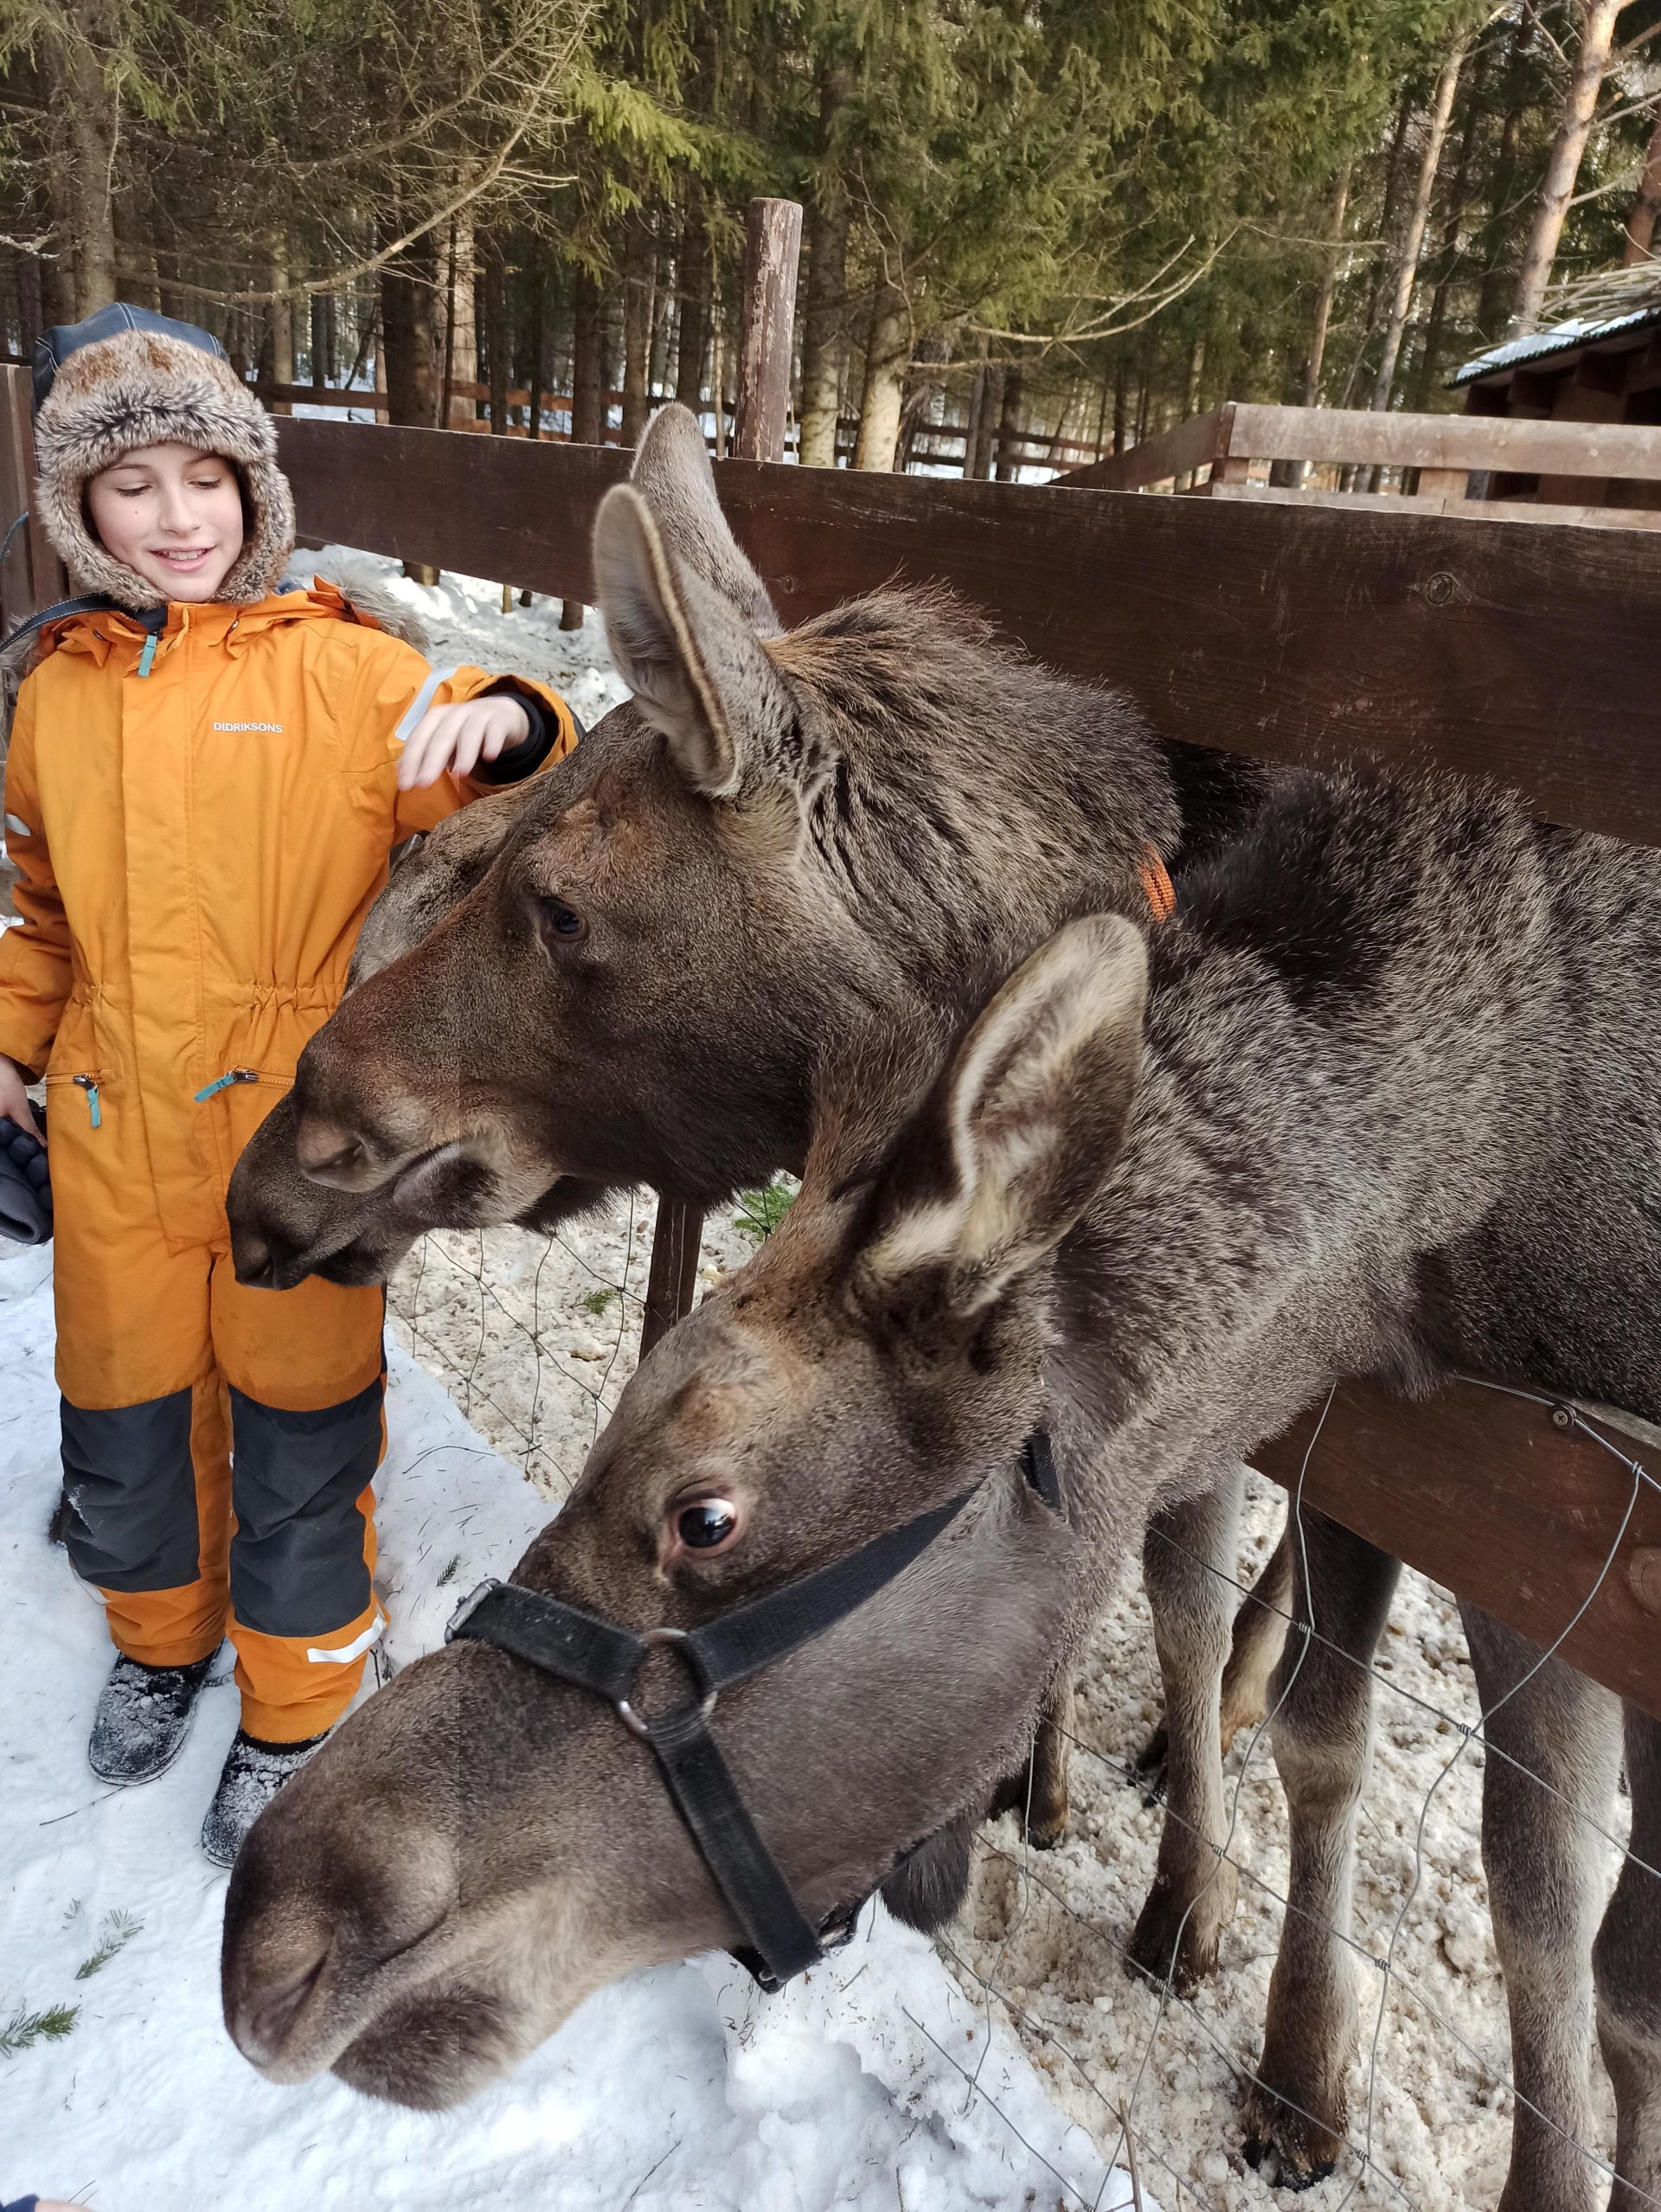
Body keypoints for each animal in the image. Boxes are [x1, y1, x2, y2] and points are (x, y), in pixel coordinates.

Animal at [224, 411, 1661, 2194]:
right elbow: (1228, 1625)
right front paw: (1112, 1847)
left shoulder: (1558, 1495)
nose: (280, 1158)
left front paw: (1290, 2046)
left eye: (553, 904)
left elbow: (1556, 1911)